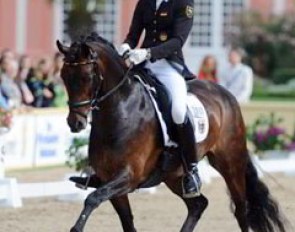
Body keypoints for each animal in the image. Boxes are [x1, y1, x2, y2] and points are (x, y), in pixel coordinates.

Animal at [56, 34, 288, 232]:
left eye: (86, 77)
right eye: (64, 76)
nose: (75, 123)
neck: (120, 110)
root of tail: (225, 94)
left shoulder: (129, 177)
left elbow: (93, 199)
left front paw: (76, 227)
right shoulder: (109, 179)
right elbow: (125, 220)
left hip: (230, 163)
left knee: (241, 209)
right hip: (175, 175)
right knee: (198, 204)